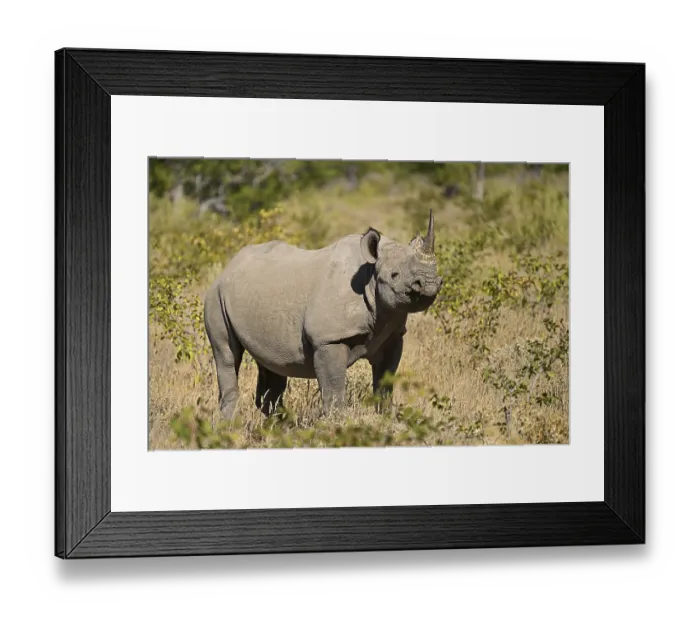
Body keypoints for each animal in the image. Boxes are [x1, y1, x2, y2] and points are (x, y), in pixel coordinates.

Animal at [203, 210, 443, 418]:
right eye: (394, 275)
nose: (430, 282)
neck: (370, 277)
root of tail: (227, 268)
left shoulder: (392, 336)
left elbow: (384, 385)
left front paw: (385, 418)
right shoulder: (327, 339)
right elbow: (334, 390)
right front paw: (336, 425)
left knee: (271, 363)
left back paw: (281, 426)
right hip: (216, 296)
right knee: (227, 355)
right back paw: (229, 425)